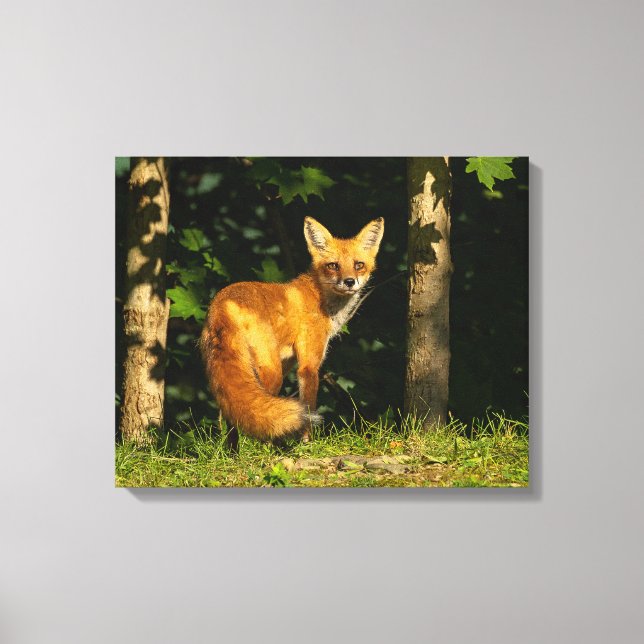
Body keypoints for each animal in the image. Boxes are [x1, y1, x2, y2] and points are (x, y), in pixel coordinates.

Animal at [199, 215, 384, 448]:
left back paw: (233, 452)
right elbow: (309, 405)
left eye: (359, 265)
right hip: (270, 371)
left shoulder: (289, 361)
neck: (321, 299)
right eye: (333, 266)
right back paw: (264, 448)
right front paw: (307, 443)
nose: (349, 281)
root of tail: (223, 303)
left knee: (233, 413)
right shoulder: (308, 366)